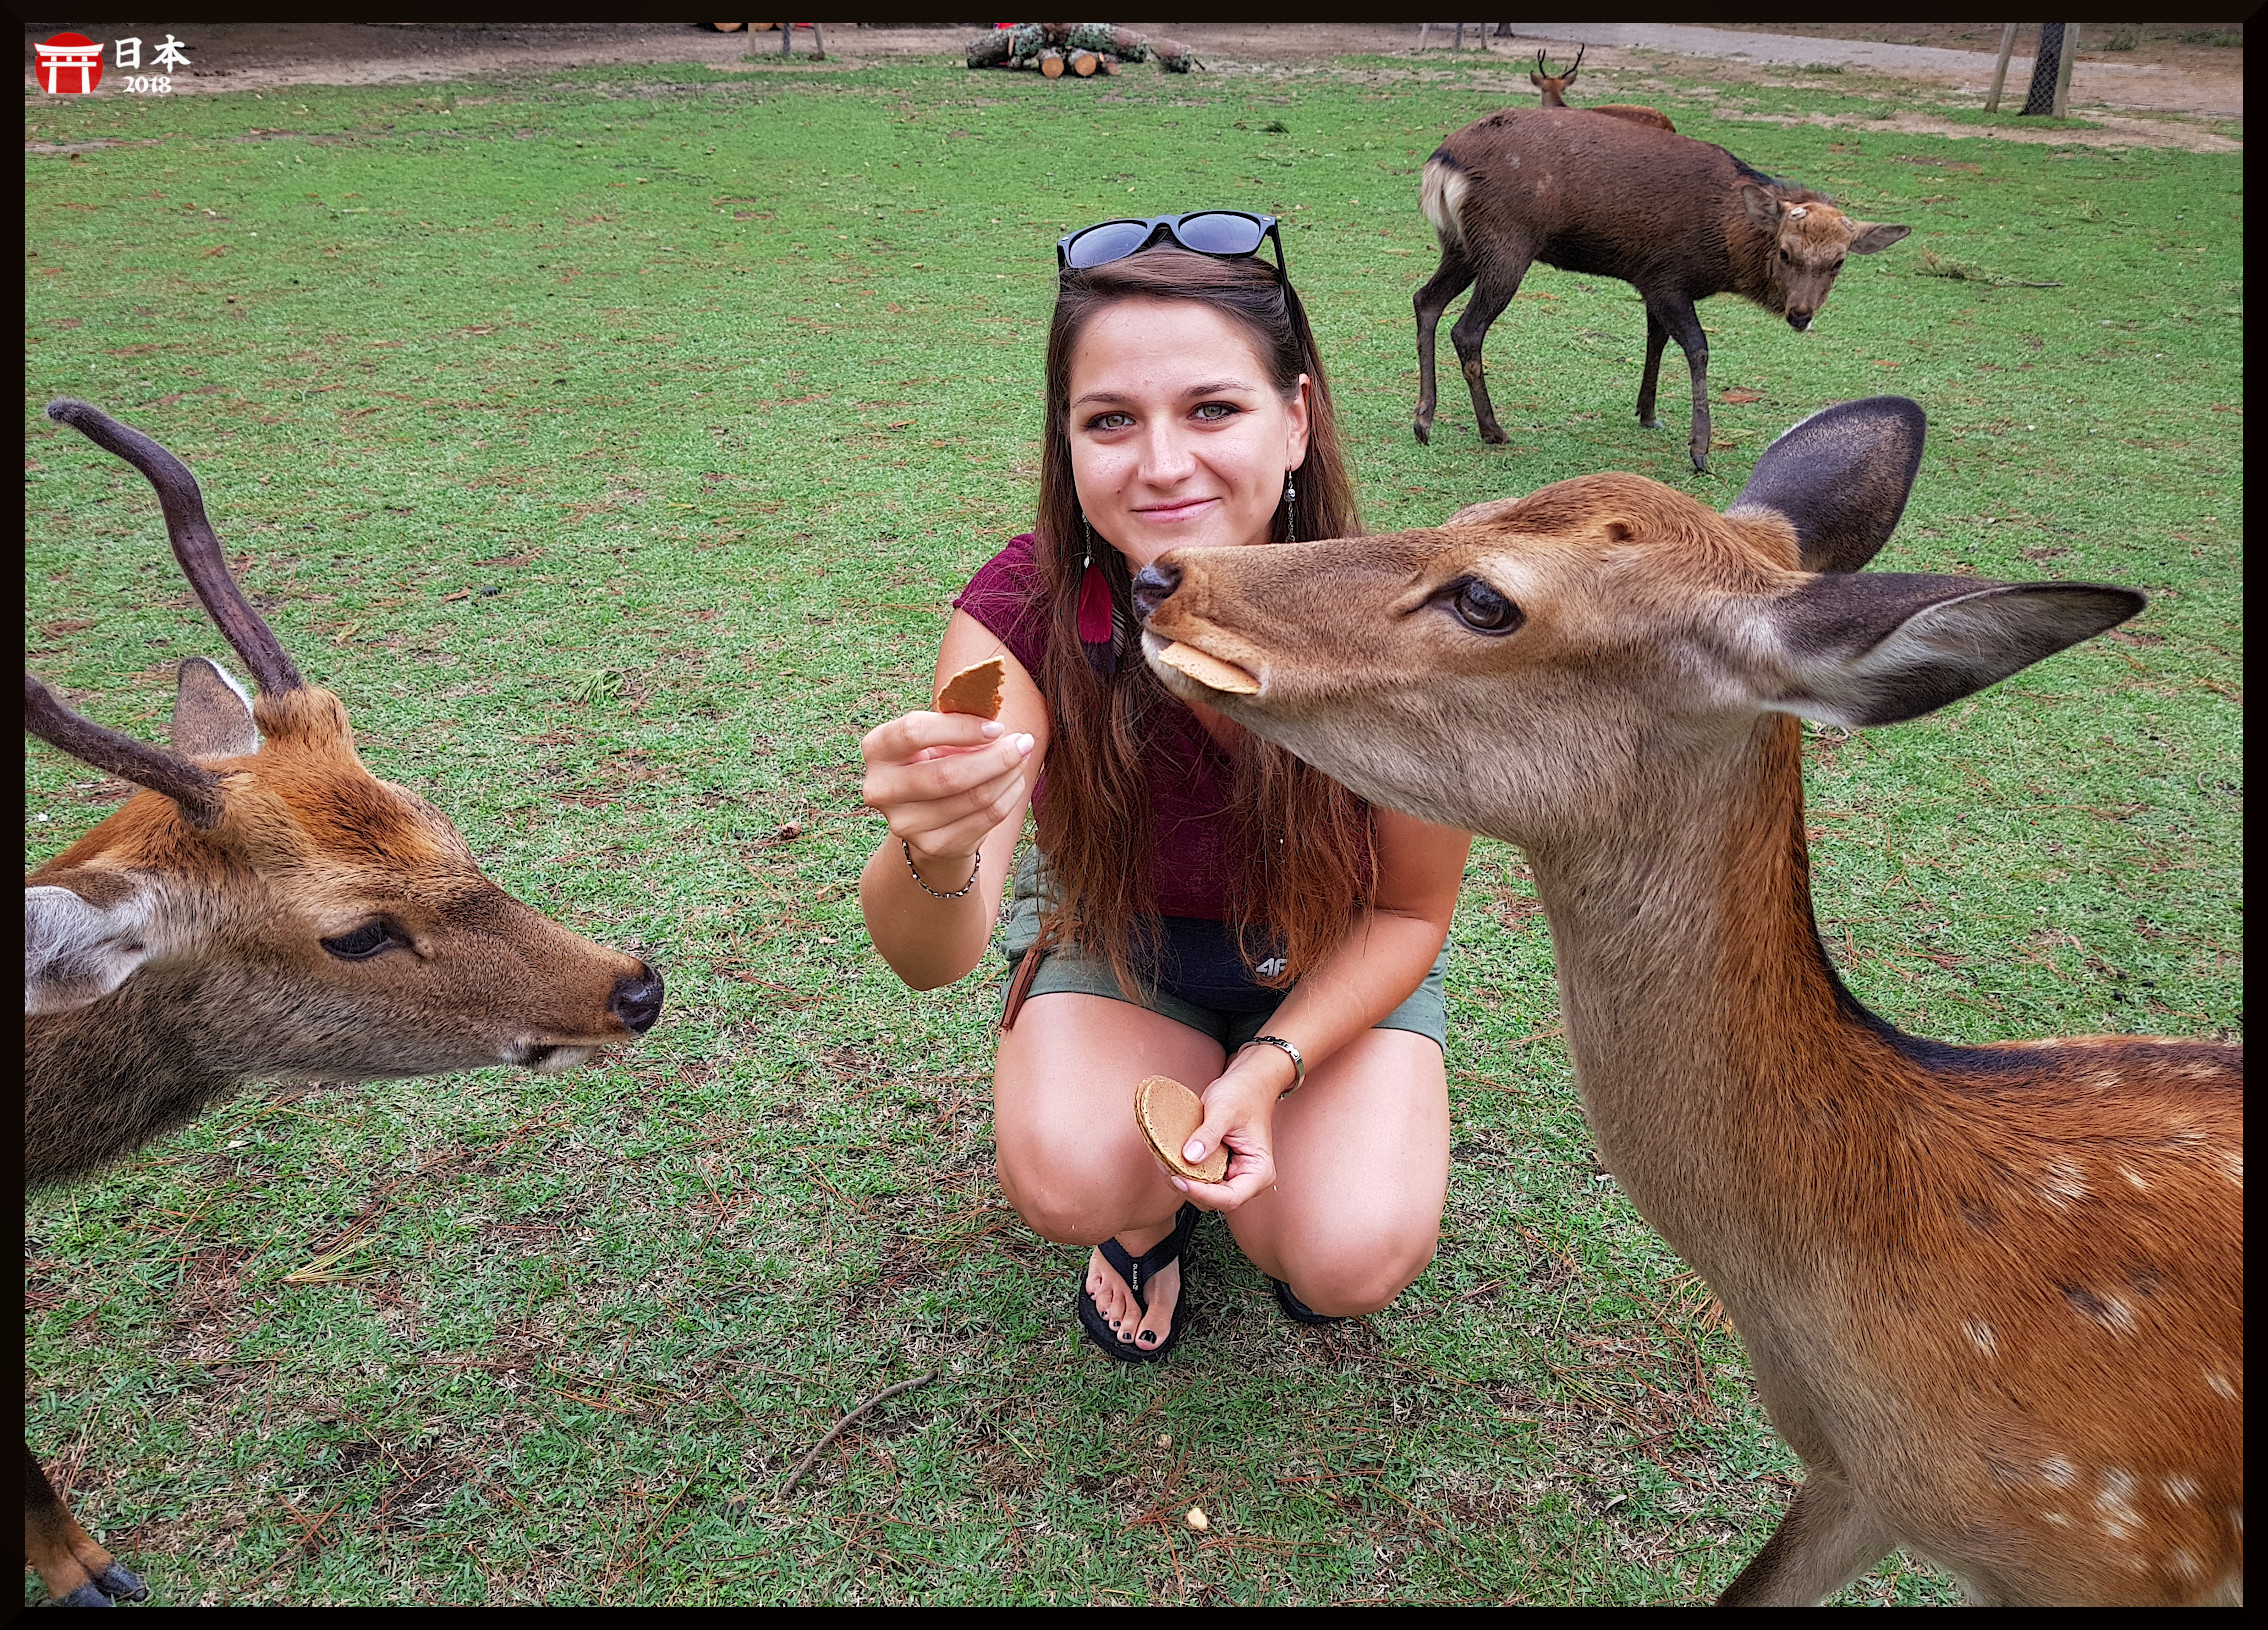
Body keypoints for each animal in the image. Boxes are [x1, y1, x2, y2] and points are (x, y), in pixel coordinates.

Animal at [1413, 109, 1909, 471]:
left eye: (1839, 262)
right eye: (1786, 252)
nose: (1800, 314)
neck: (1723, 245)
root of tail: (1441, 163)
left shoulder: (1650, 280)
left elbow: (1656, 339)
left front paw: (1648, 414)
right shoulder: (1669, 277)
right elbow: (1697, 347)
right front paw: (1701, 450)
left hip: (1461, 245)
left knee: (1425, 300)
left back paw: (1424, 419)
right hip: (1507, 244)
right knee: (1467, 329)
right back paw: (1492, 429)